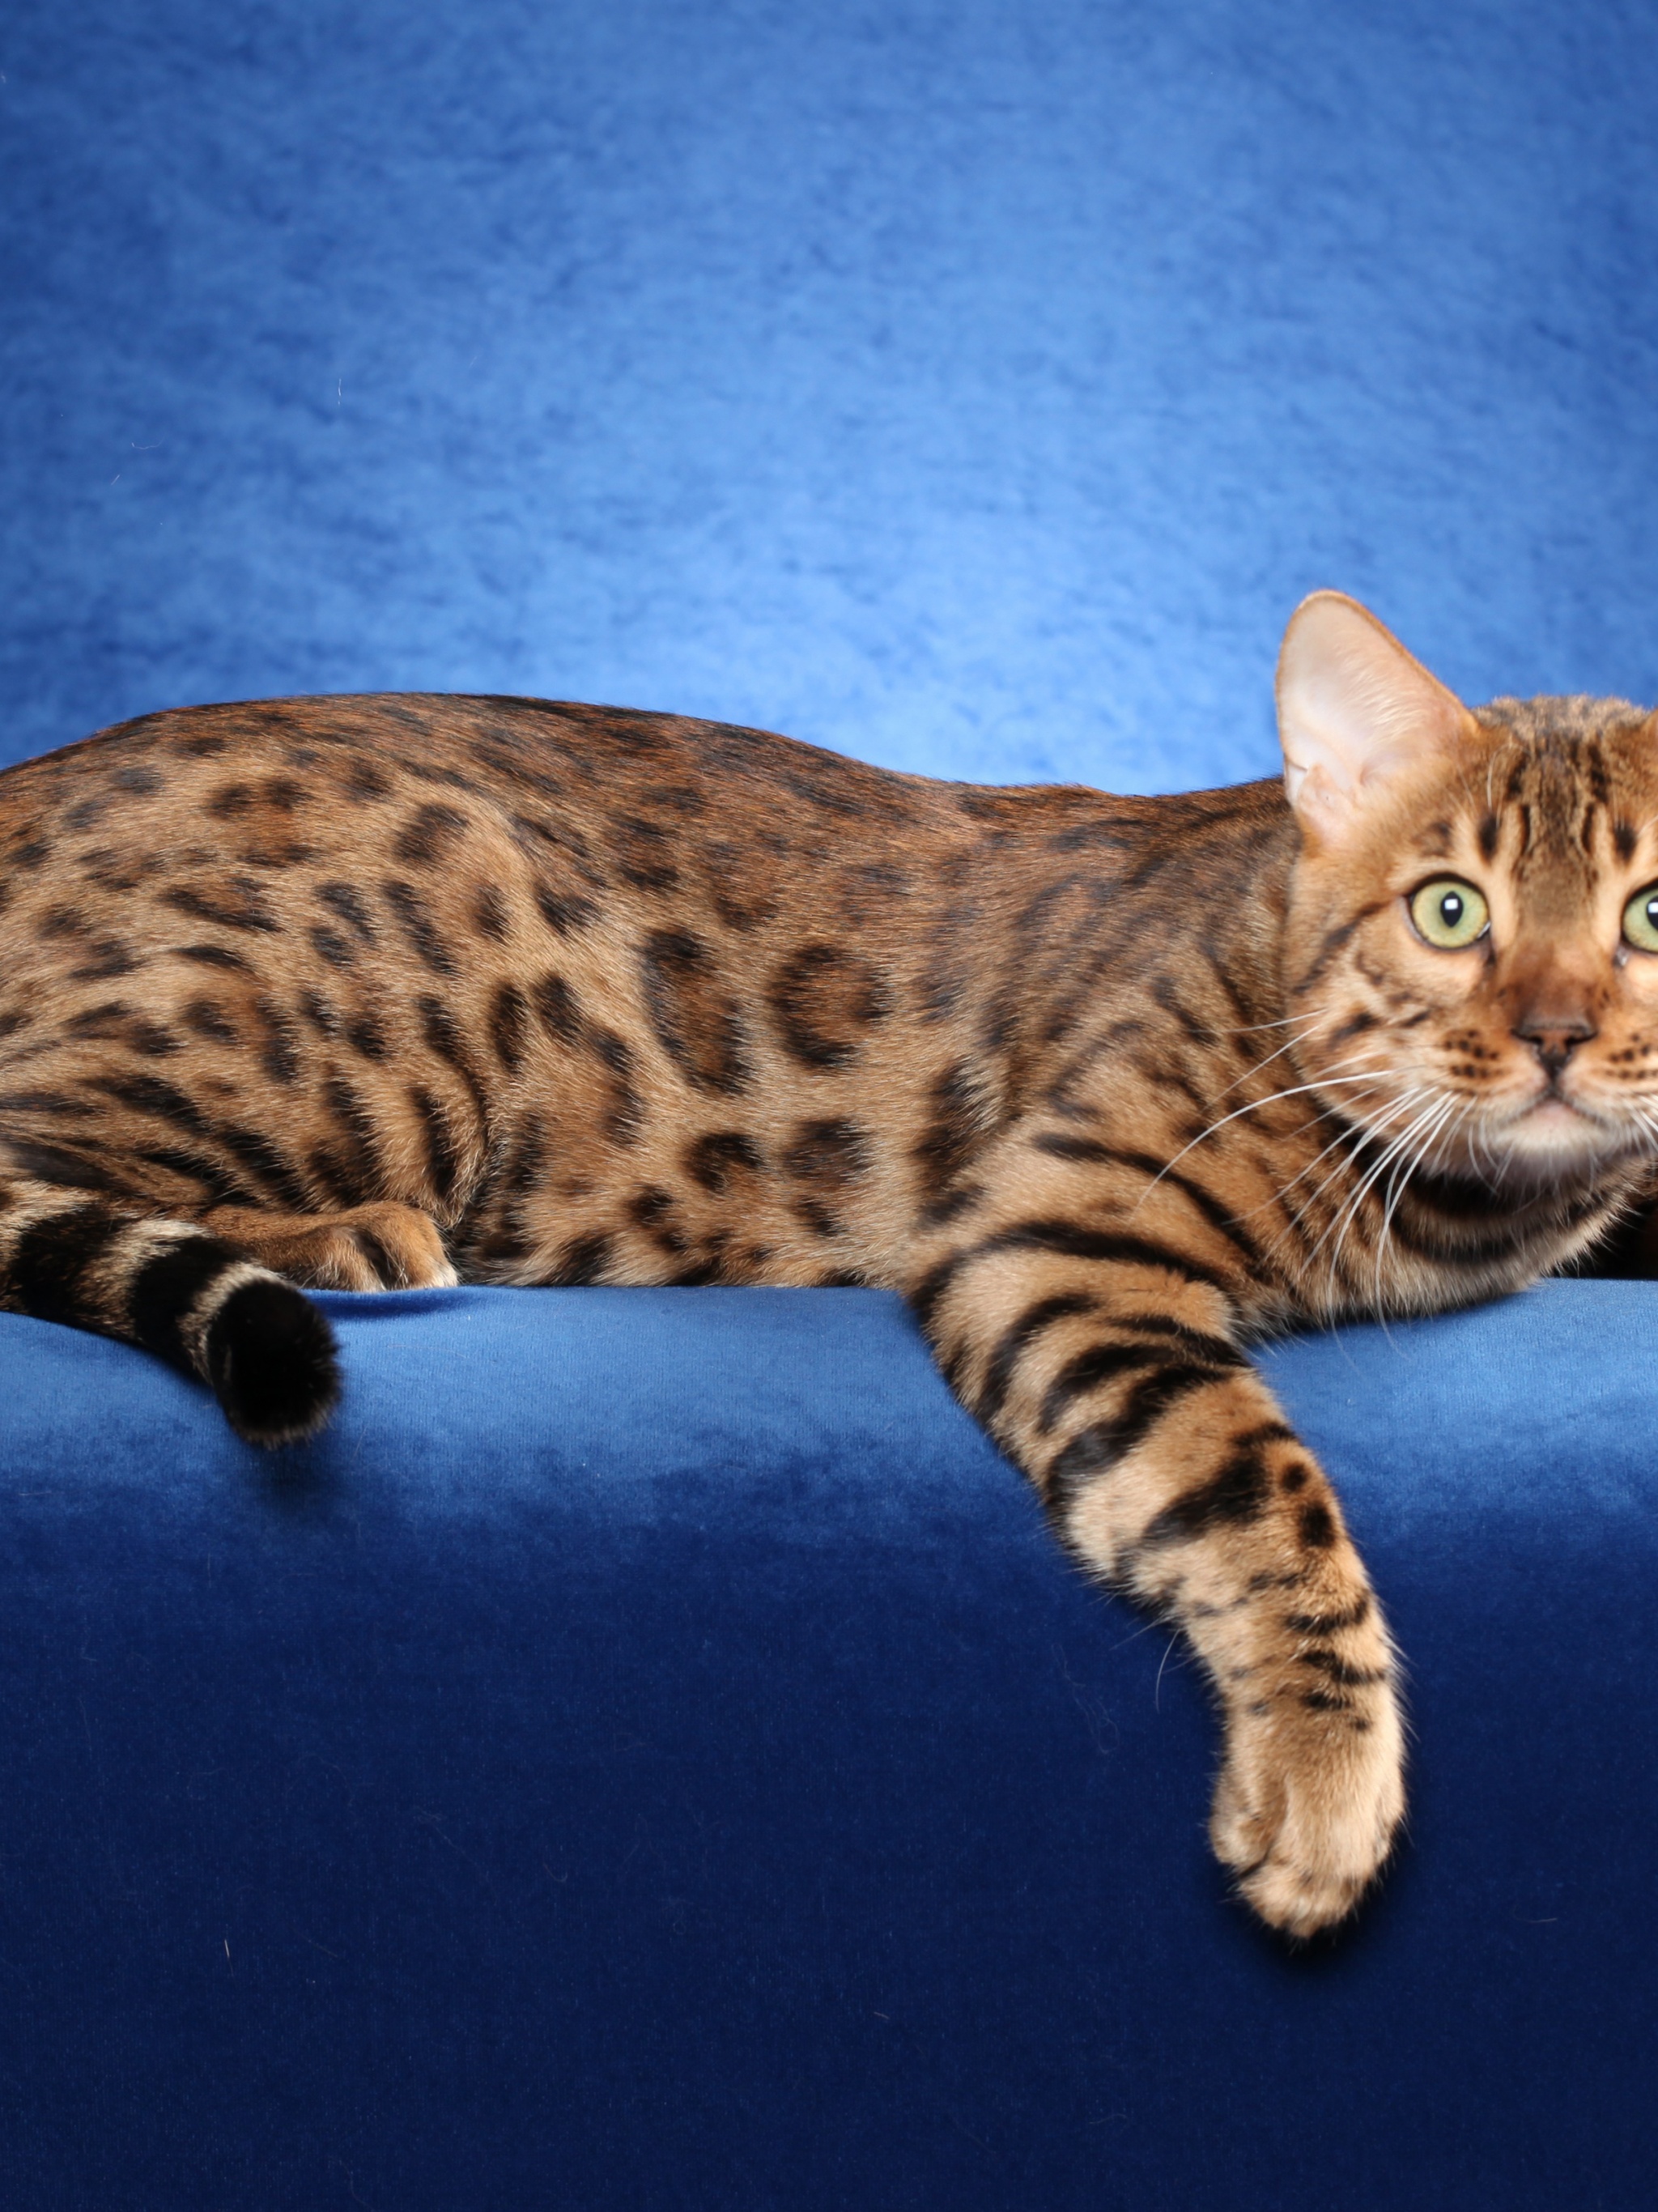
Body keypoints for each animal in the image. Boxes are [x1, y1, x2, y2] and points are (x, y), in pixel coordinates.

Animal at [3, 593, 1658, 1938]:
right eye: (1451, 909)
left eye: (1646, 917)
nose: (1556, 1034)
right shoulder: (1059, 1221)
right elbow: (1255, 1487)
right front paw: (1322, 1775)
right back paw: (351, 1238)